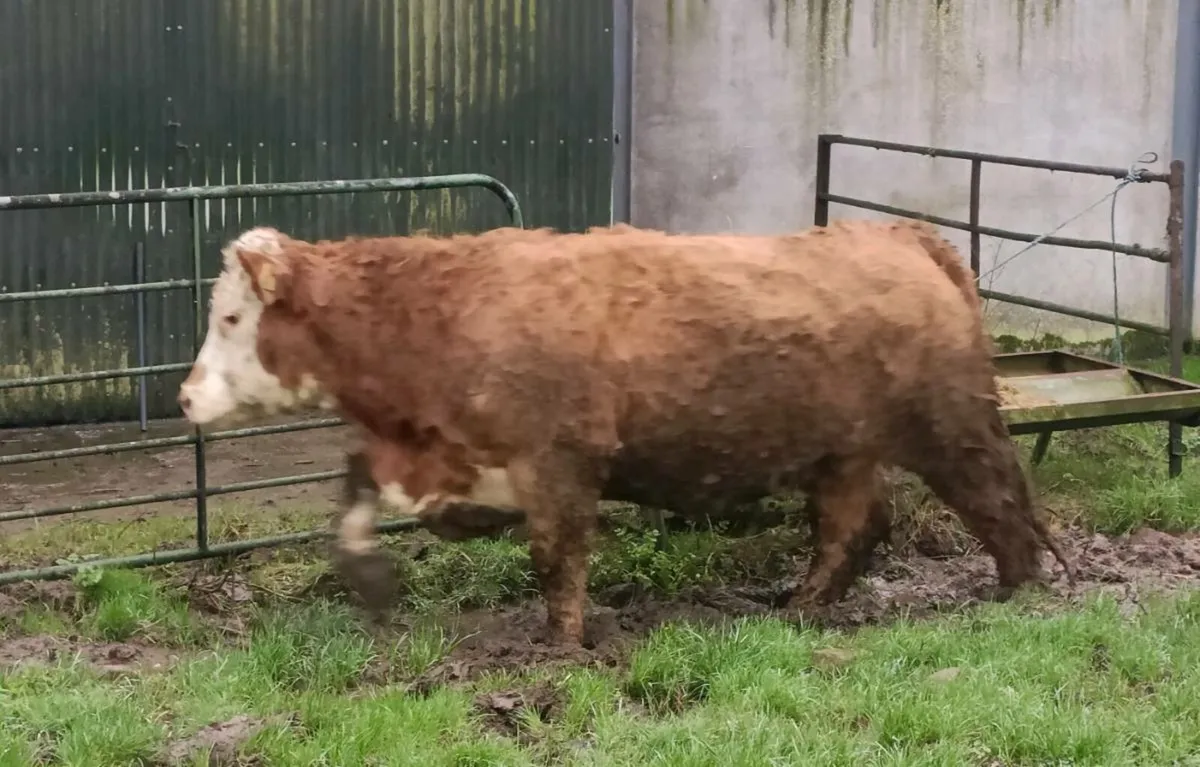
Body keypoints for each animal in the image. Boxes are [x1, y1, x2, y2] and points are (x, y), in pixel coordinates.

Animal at [176, 219, 1073, 645]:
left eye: (232, 318)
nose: (184, 396)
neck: (443, 309)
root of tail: (897, 234)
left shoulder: (559, 462)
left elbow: (557, 560)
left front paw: (563, 647)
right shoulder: (453, 460)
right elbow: (358, 486)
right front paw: (367, 576)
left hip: (953, 425)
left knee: (1001, 503)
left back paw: (1017, 596)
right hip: (843, 452)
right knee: (854, 528)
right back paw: (798, 609)